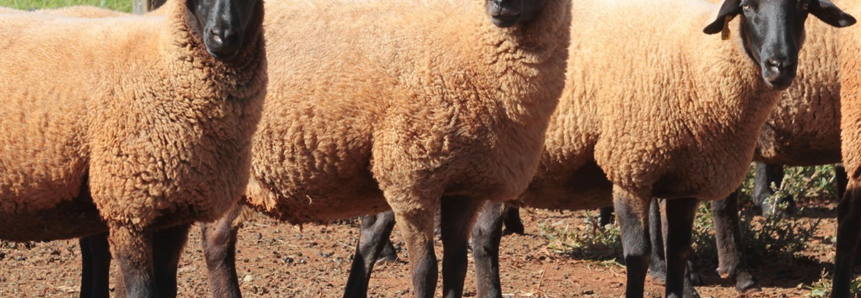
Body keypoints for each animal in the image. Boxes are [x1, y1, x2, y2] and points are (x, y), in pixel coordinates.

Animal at [0, 0, 266, 296]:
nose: (223, 36)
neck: (163, 61)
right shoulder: (128, 208)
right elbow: (143, 289)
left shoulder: (176, 211)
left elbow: (167, 286)